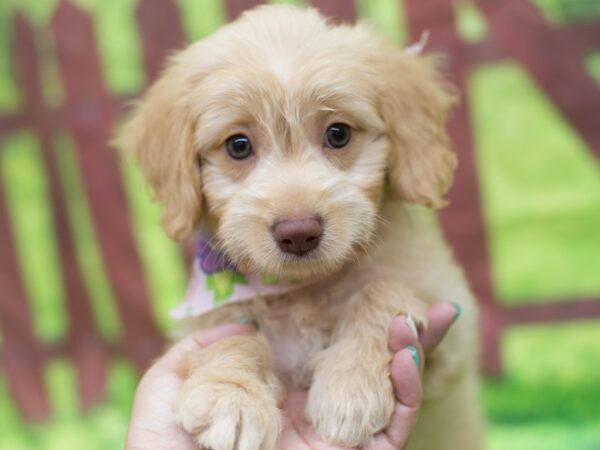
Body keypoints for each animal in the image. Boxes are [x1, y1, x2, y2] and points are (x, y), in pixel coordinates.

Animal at [119, 4, 486, 450]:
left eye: (338, 134)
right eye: (238, 146)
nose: (298, 232)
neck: (300, 289)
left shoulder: (451, 325)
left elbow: (382, 290)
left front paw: (350, 390)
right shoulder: (205, 320)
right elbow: (237, 333)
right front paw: (231, 396)